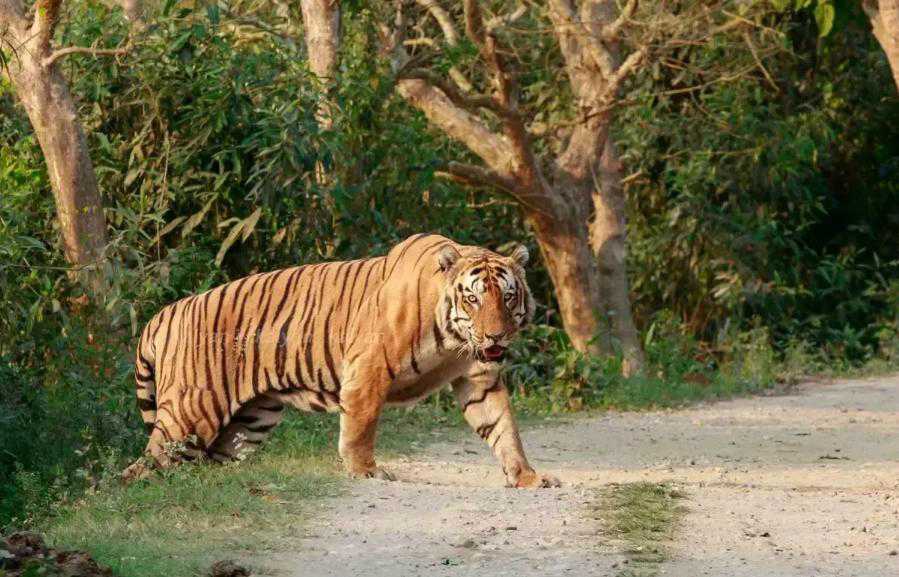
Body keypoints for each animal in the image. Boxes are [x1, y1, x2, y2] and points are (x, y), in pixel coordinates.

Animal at [125, 233, 559, 488]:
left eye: (507, 297)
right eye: (472, 298)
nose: (496, 336)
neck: (454, 341)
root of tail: (167, 312)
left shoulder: (479, 377)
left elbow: (503, 428)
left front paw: (526, 476)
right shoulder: (369, 367)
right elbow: (361, 424)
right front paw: (365, 471)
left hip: (247, 425)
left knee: (204, 464)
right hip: (190, 414)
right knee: (146, 463)